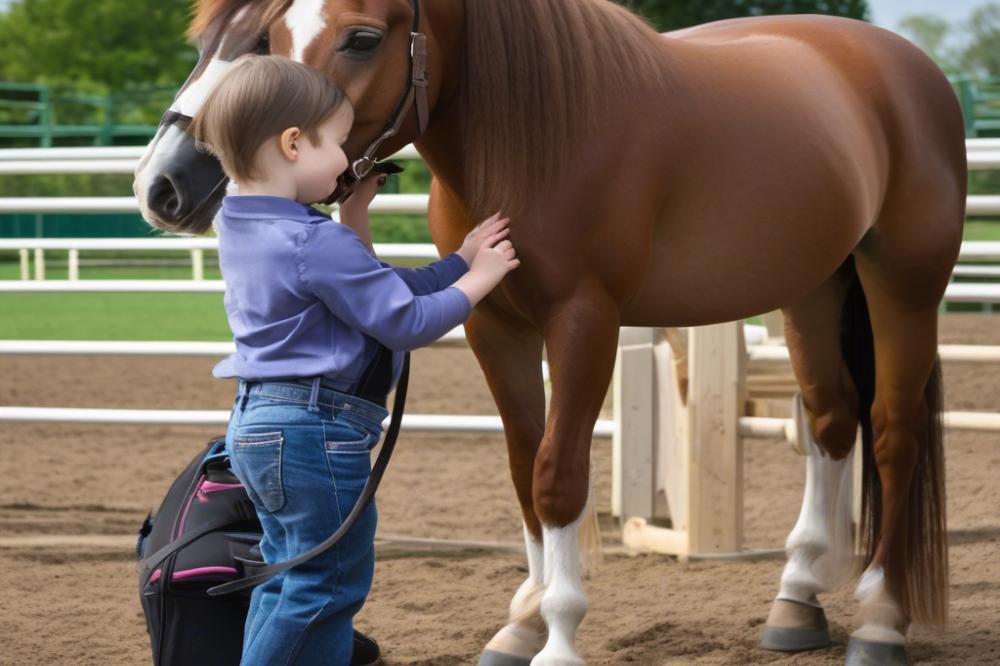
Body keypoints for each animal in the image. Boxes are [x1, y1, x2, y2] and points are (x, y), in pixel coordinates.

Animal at [133, 2, 960, 660]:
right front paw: (523, 623)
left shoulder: (585, 322)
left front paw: (557, 638)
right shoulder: (495, 327)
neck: (541, 139)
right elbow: (523, 470)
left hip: (903, 283)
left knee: (893, 429)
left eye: (362, 37)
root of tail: (906, 67)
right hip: (815, 288)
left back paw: (880, 621)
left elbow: (558, 478)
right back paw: (797, 600)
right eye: (270, 36)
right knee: (832, 420)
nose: (162, 185)